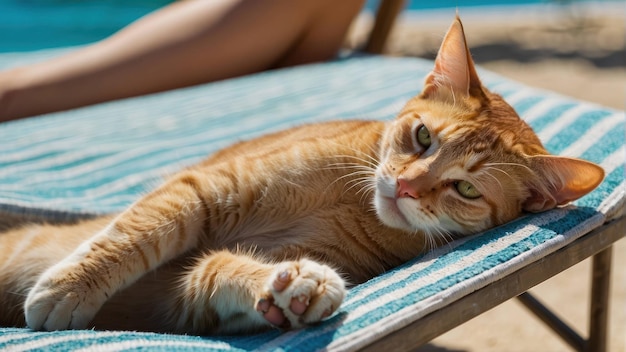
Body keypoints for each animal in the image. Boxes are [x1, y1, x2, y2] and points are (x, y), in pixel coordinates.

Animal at [1, 17, 604, 336]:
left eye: (467, 188)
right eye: (423, 138)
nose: (406, 186)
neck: (351, 198)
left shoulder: (182, 302)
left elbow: (216, 271)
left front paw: (290, 289)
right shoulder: (208, 187)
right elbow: (133, 233)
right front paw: (70, 286)